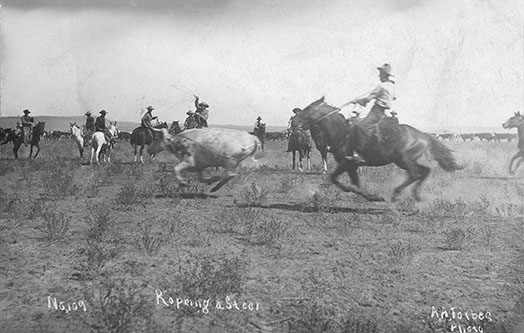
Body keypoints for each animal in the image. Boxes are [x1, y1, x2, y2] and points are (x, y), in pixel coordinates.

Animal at [292, 96, 464, 200]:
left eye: (310, 108)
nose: (294, 122)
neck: (341, 132)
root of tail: (424, 136)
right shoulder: (347, 164)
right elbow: (338, 179)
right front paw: (367, 195)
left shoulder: (349, 163)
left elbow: (351, 183)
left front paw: (373, 197)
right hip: (404, 161)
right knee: (424, 171)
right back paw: (416, 196)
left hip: (404, 160)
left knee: (415, 174)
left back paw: (396, 194)